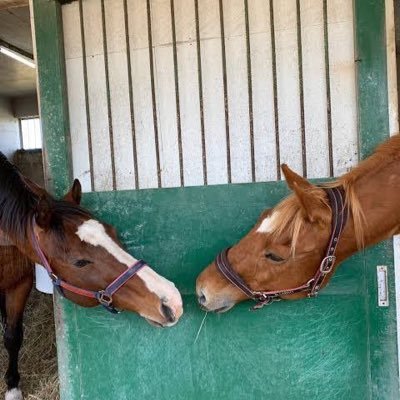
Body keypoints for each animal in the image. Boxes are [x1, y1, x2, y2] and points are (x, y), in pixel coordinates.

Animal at [0, 153, 183, 400]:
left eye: (114, 233)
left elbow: (12, 336)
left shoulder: (20, 284)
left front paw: (12, 388)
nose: (172, 302)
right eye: (80, 262)